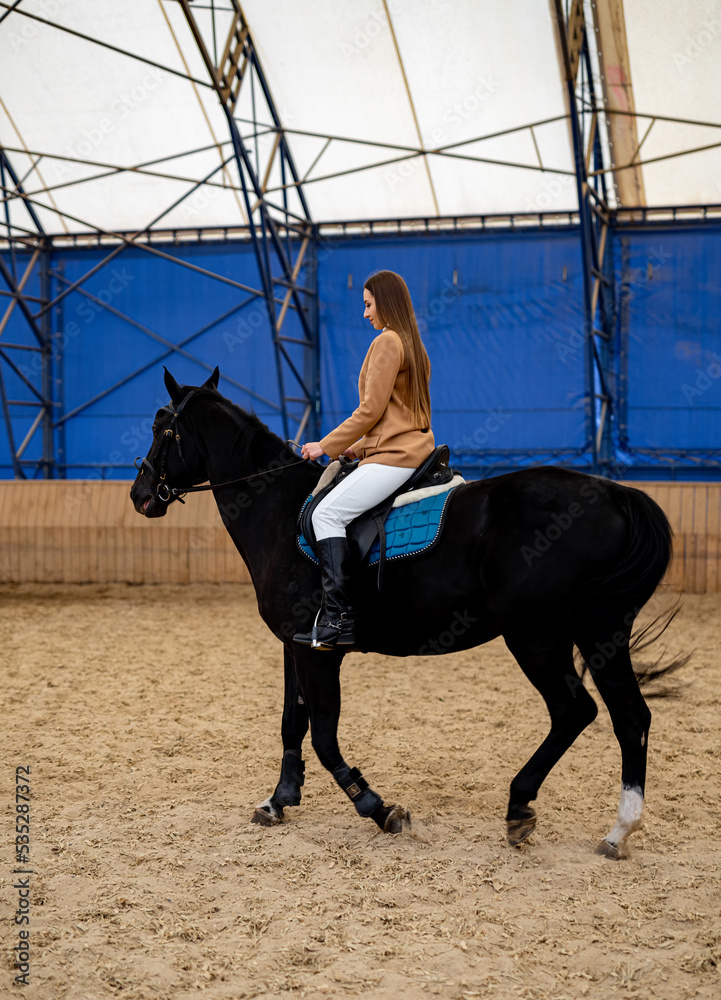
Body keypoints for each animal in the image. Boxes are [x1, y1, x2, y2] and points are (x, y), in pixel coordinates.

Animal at [128, 372, 668, 856]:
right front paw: (278, 800)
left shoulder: (320, 652)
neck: (279, 510)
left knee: (575, 711)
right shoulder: (296, 643)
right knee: (630, 717)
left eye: (162, 428)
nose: (139, 495)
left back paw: (520, 807)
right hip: (599, 632)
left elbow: (323, 735)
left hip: (536, 637)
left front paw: (379, 808)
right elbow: (291, 722)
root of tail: (614, 492)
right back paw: (619, 831)